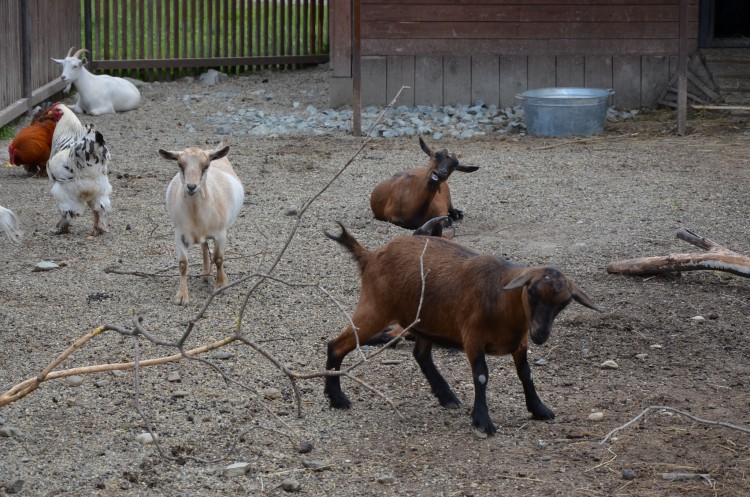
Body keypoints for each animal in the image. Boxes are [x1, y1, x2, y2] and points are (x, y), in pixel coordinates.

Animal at [160, 138, 245, 304]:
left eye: (206, 166)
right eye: (180, 165)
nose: (191, 187)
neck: (196, 214)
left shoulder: (220, 234)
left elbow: (218, 258)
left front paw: (221, 284)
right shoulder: (179, 234)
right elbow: (183, 264)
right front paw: (181, 296)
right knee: (204, 245)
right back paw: (205, 274)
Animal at [324, 224, 600, 434]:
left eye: (564, 303)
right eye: (531, 292)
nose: (541, 335)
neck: (502, 301)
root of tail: (369, 256)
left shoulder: (520, 342)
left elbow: (526, 374)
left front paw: (539, 409)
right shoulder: (473, 337)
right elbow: (481, 376)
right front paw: (483, 421)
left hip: (425, 321)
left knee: (421, 355)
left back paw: (446, 396)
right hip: (375, 309)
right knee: (336, 345)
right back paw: (337, 398)